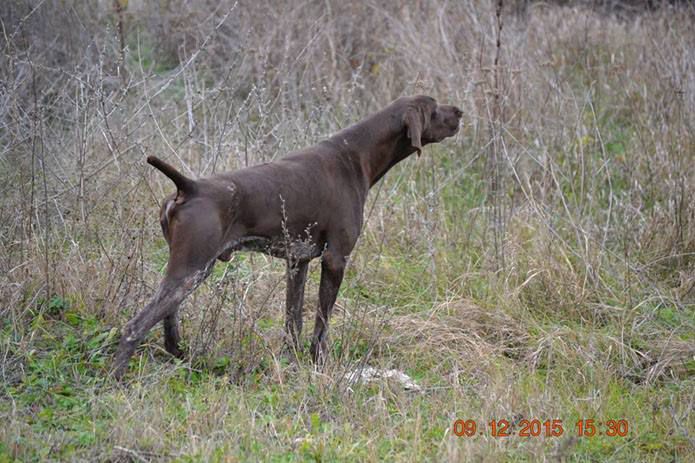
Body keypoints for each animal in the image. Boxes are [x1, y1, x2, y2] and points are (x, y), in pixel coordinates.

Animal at [113, 96, 462, 378]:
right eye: (434, 108)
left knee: (167, 322)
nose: (460, 111)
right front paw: (319, 366)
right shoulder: (335, 259)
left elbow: (293, 323)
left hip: (185, 270)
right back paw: (118, 378)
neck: (355, 155)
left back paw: (182, 358)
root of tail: (190, 187)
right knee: (134, 328)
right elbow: (321, 327)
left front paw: (291, 363)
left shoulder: (298, 262)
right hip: (191, 271)